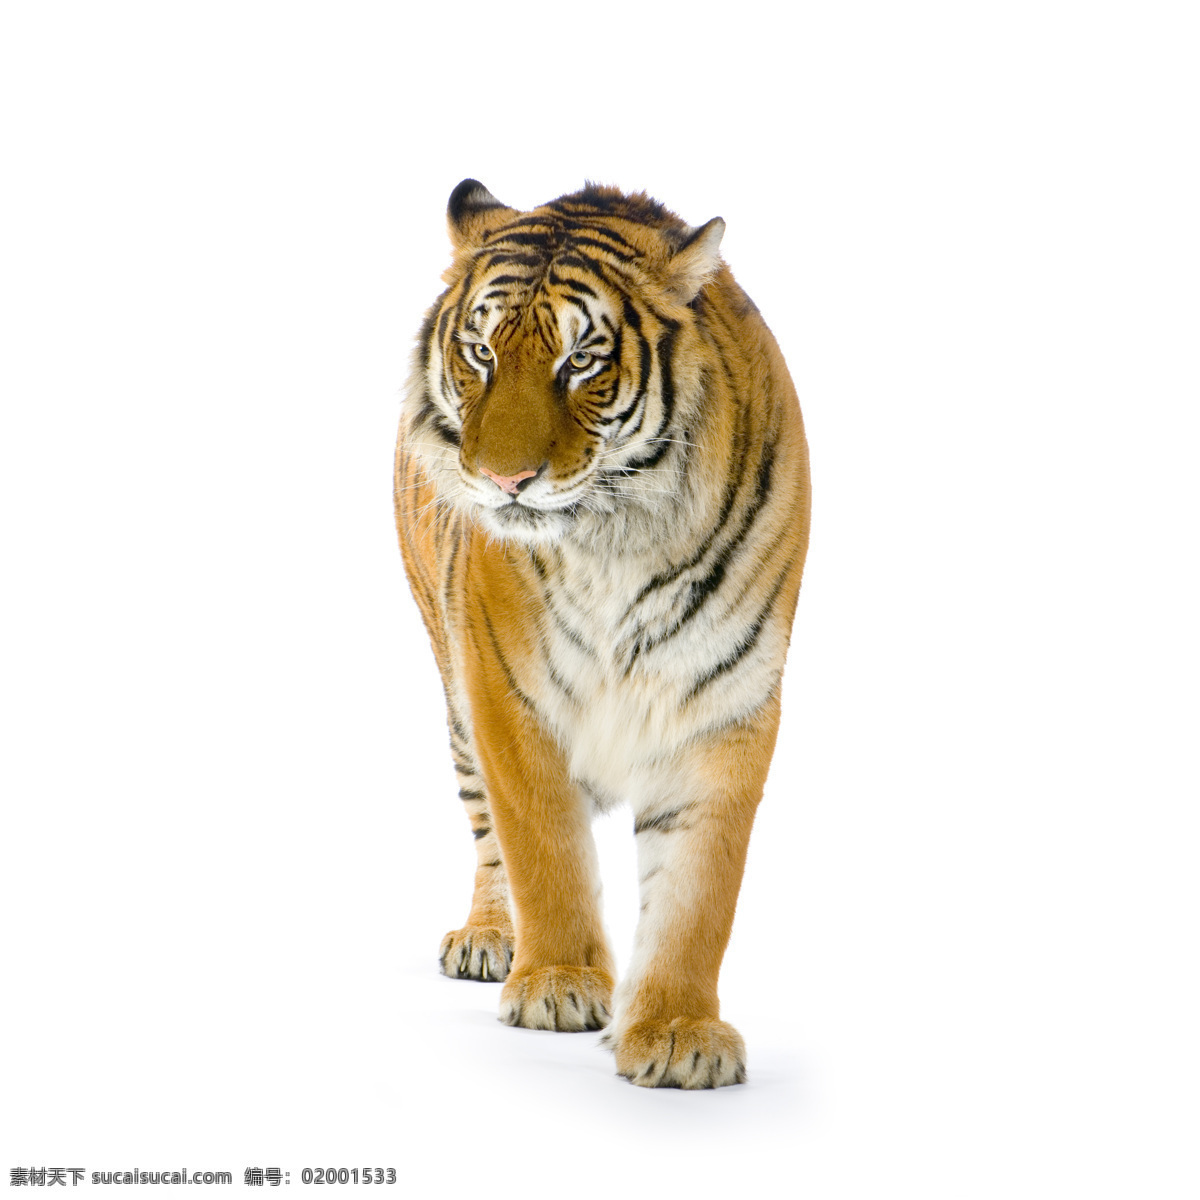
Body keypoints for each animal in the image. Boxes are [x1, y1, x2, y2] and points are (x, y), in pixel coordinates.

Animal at [394, 179, 810, 1088]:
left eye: (580, 361)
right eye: (480, 352)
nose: (504, 479)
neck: (616, 536)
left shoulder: (725, 700)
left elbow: (698, 891)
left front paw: (679, 1029)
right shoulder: (506, 692)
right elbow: (542, 847)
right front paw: (558, 982)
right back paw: (489, 939)